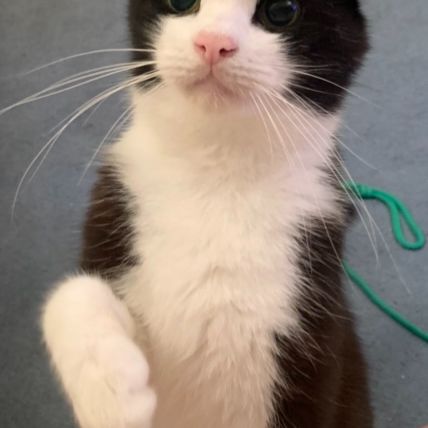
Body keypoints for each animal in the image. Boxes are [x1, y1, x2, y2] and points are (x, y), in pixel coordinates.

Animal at [42, 0, 373, 427]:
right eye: (182, 3)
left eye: (282, 11)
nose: (213, 42)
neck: (216, 179)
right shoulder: (114, 217)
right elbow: (72, 291)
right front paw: (109, 390)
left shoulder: (315, 324)